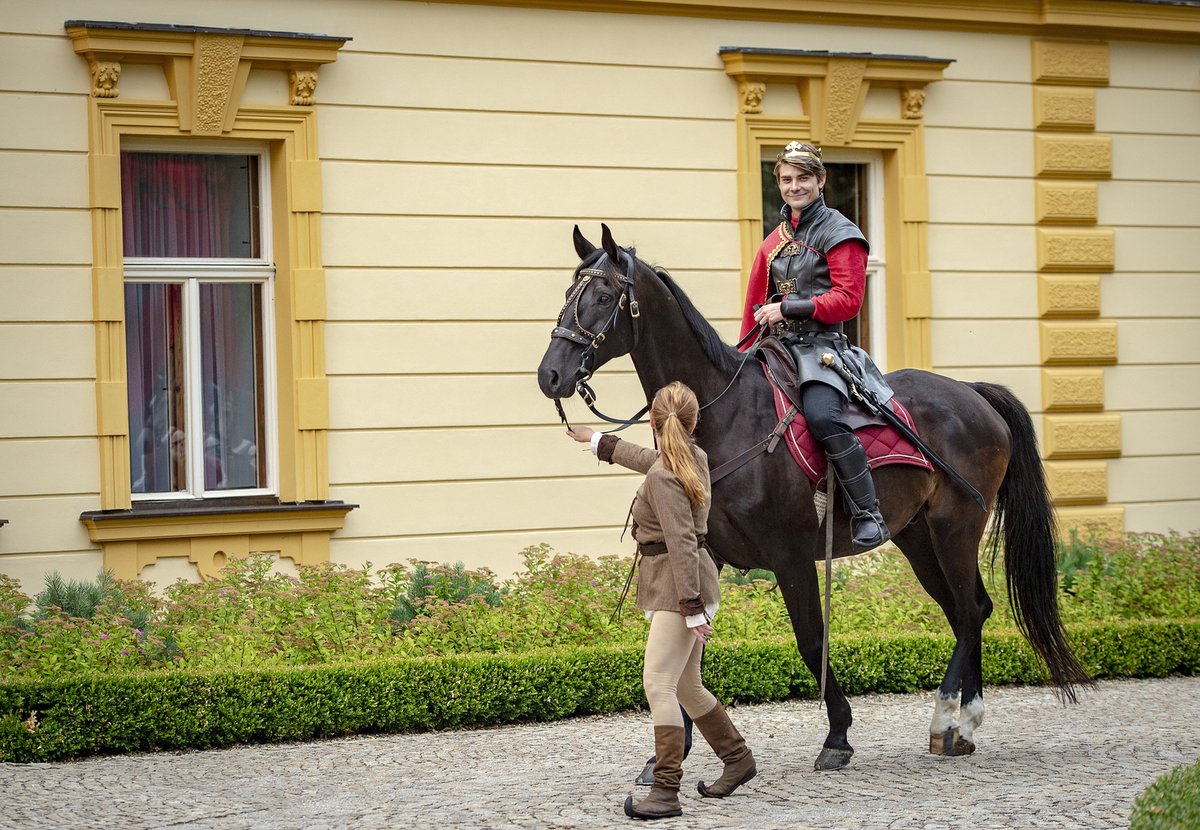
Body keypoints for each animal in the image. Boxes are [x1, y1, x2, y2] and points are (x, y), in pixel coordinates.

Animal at [540, 224, 1094, 767]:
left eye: (604, 295)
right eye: (567, 292)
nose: (551, 375)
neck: (721, 416)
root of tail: (975, 394)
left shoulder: (791, 555)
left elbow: (811, 640)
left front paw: (838, 735)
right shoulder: (703, 551)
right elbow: (685, 647)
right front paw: (672, 751)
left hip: (954, 528)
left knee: (972, 609)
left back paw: (947, 719)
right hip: (917, 537)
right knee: (965, 610)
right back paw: (963, 725)